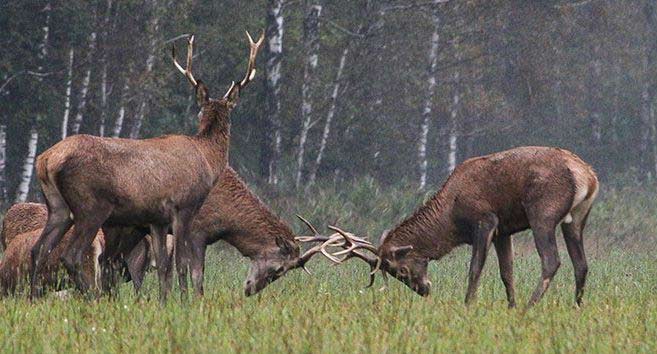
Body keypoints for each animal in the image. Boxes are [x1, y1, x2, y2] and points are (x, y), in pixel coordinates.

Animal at [28, 32, 264, 302]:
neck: (207, 159)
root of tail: (47, 160)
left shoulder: (157, 218)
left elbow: (162, 264)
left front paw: (164, 301)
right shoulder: (184, 207)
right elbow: (181, 262)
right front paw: (185, 302)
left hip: (58, 206)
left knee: (38, 250)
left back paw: (33, 298)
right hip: (91, 206)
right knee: (72, 255)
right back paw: (92, 298)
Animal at [330, 147, 596, 306]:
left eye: (401, 270)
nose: (423, 290)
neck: (451, 217)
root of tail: (588, 177)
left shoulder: (486, 220)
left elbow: (475, 268)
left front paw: (468, 304)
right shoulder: (504, 231)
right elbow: (506, 272)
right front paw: (510, 306)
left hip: (542, 213)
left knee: (552, 260)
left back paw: (530, 307)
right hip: (577, 219)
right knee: (581, 264)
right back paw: (576, 305)